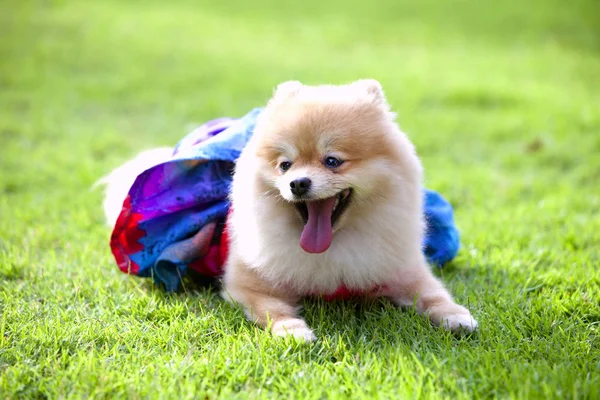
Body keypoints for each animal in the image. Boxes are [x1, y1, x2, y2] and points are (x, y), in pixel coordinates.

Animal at [102, 79, 478, 342]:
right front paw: (292, 330)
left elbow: (433, 293)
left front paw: (456, 316)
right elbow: (272, 308)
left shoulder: (403, 270)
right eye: (285, 165)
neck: (332, 251)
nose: (298, 183)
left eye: (332, 161)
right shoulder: (246, 285)